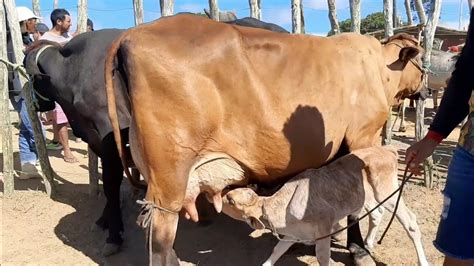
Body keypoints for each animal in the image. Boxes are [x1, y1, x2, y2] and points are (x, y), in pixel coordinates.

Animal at [223, 145, 430, 266]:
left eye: (231, 200)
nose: (222, 192)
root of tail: (387, 150)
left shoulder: (323, 228)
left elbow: (322, 257)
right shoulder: (292, 235)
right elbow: (276, 251)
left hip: (388, 193)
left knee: (411, 222)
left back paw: (423, 261)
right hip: (368, 197)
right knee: (377, 214)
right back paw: (369, 243)